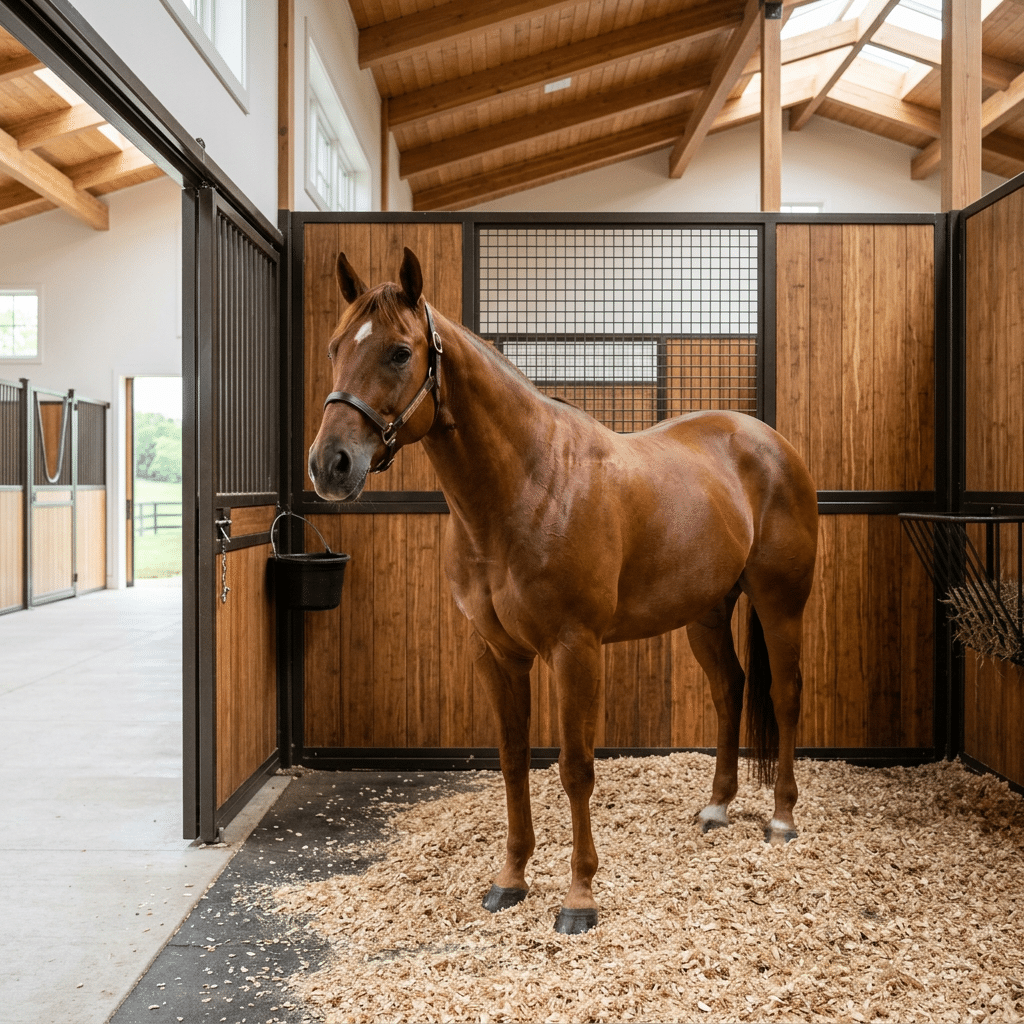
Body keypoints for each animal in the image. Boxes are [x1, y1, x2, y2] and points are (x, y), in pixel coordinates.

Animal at [308, 247, 819, 935]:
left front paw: (579, 896)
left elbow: (576, 769)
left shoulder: (576, 650)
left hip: (779, 602)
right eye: (335, 347)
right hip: (706, 613)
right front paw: (510, 879)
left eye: (398, 352)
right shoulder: (498, 654)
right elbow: (513, 760)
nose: (329, 464)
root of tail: (771, 442)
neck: (529, 486)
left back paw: (782, 818)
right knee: (729, 690)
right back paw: (716, 808)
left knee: (786, 696)